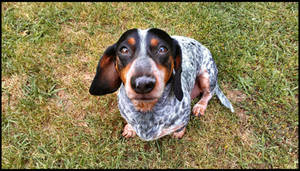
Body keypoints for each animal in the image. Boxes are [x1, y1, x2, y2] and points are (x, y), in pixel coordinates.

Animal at [89, 27, 234, 140]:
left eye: (162, 49)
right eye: (124, 50)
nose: (143, 84)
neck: (146, 109)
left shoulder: (183, 117)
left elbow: (182, 125)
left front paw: (179, 132)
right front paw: (130, 129)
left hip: (207, 75)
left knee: (209, 93)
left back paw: (200, 106)